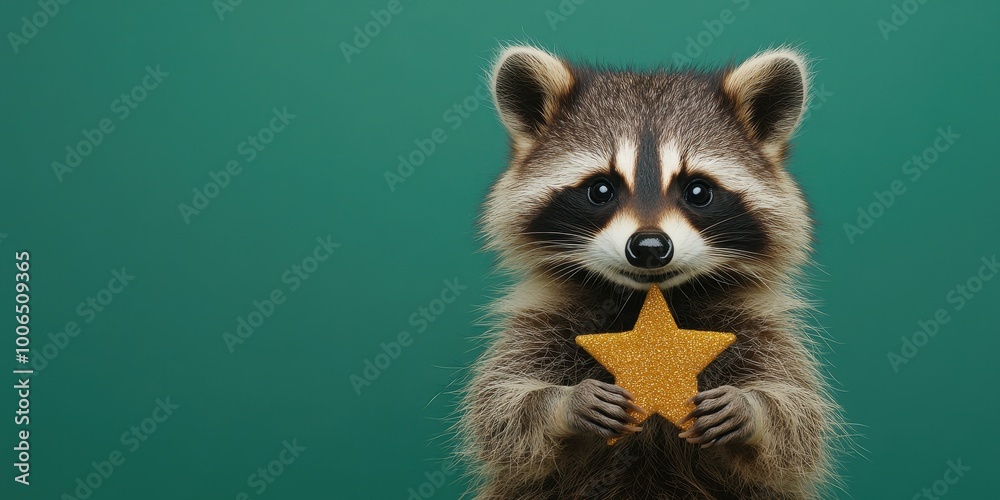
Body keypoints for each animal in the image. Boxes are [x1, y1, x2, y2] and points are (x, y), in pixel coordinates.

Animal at [459, 45, 841, 499]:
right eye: (601, 190)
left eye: (698, 191)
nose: (649, 247)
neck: (646, 298)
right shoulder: (540, 321)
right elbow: (500, 413)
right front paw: (564, 404)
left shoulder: (759, 327)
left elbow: (797, 424)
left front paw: (750, 410)